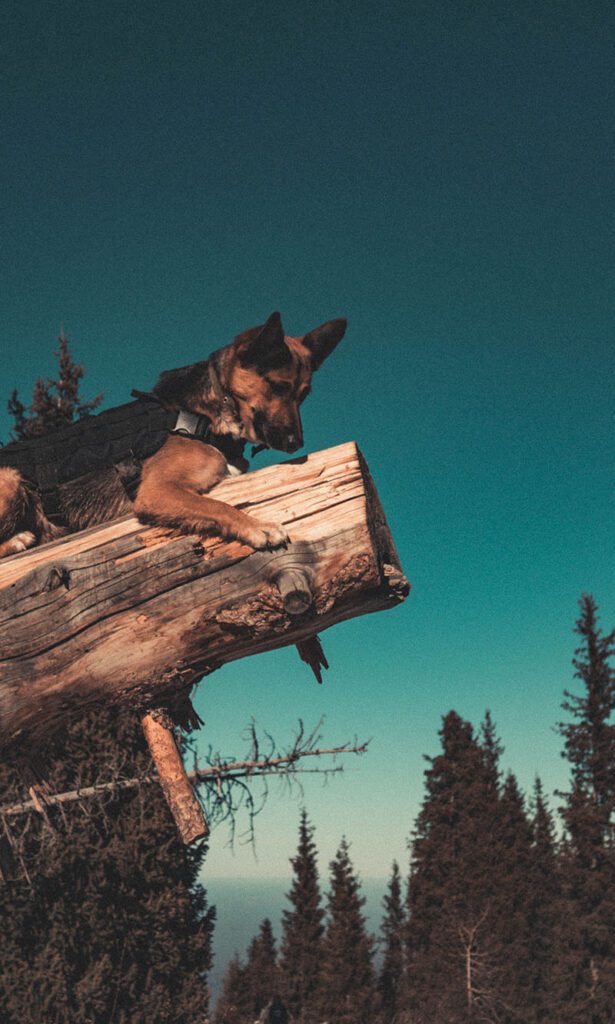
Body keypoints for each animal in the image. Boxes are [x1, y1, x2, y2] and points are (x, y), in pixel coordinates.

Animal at [0, 313, 345, 561]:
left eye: (304, 395)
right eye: (277, 386)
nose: (295, 443)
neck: (206, 413)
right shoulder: (158, 491)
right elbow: (217, 506)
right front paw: (257, 526)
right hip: (11, 479)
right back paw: (18, 540)